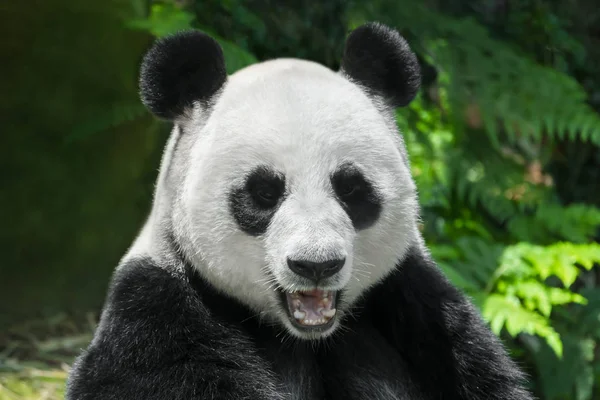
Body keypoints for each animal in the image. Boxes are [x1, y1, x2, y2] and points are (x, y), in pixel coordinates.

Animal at [67, 22, 536, 400]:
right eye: (263, 193)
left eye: (351, 188)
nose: (316, 265)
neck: (304, 337)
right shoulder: (159, 316)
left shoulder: (421, 310)